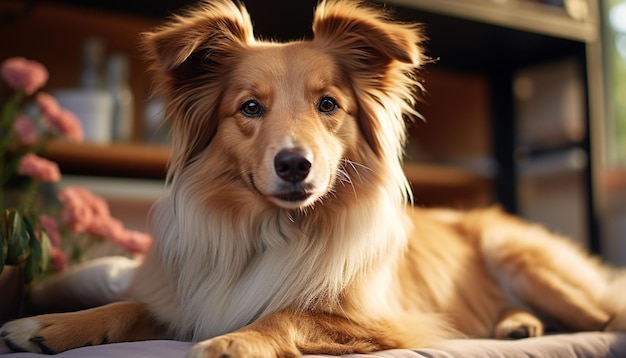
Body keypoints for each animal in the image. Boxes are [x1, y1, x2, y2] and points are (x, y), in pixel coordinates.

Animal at [1, 0, 624, 356]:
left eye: (329, 104)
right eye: (250, 108)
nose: (294, 164)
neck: (275, 229)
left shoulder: (377, 320)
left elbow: (289, 313)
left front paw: (237, 340)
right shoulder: (189, 302)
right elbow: (127, 307)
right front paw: (48, 324)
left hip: (519, 257)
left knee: (604, 313)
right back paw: (517, 326)